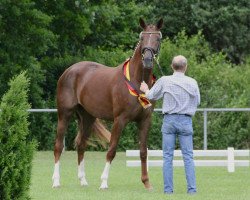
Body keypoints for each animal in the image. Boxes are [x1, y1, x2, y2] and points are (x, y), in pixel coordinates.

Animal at [51, 18, 163, 190]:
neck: (135, 80)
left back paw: (83, 181)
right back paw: (56, 181)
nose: (148, 60)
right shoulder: (120, 120)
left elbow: (143, 152)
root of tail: (69, 71)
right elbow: (112, 150)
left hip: (87, 117)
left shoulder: (145, 121)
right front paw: (104, 182)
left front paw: (146, 183)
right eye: (142, 37)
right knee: (58, 146)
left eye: (158, 38)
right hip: (64, 114)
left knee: (81, 145)